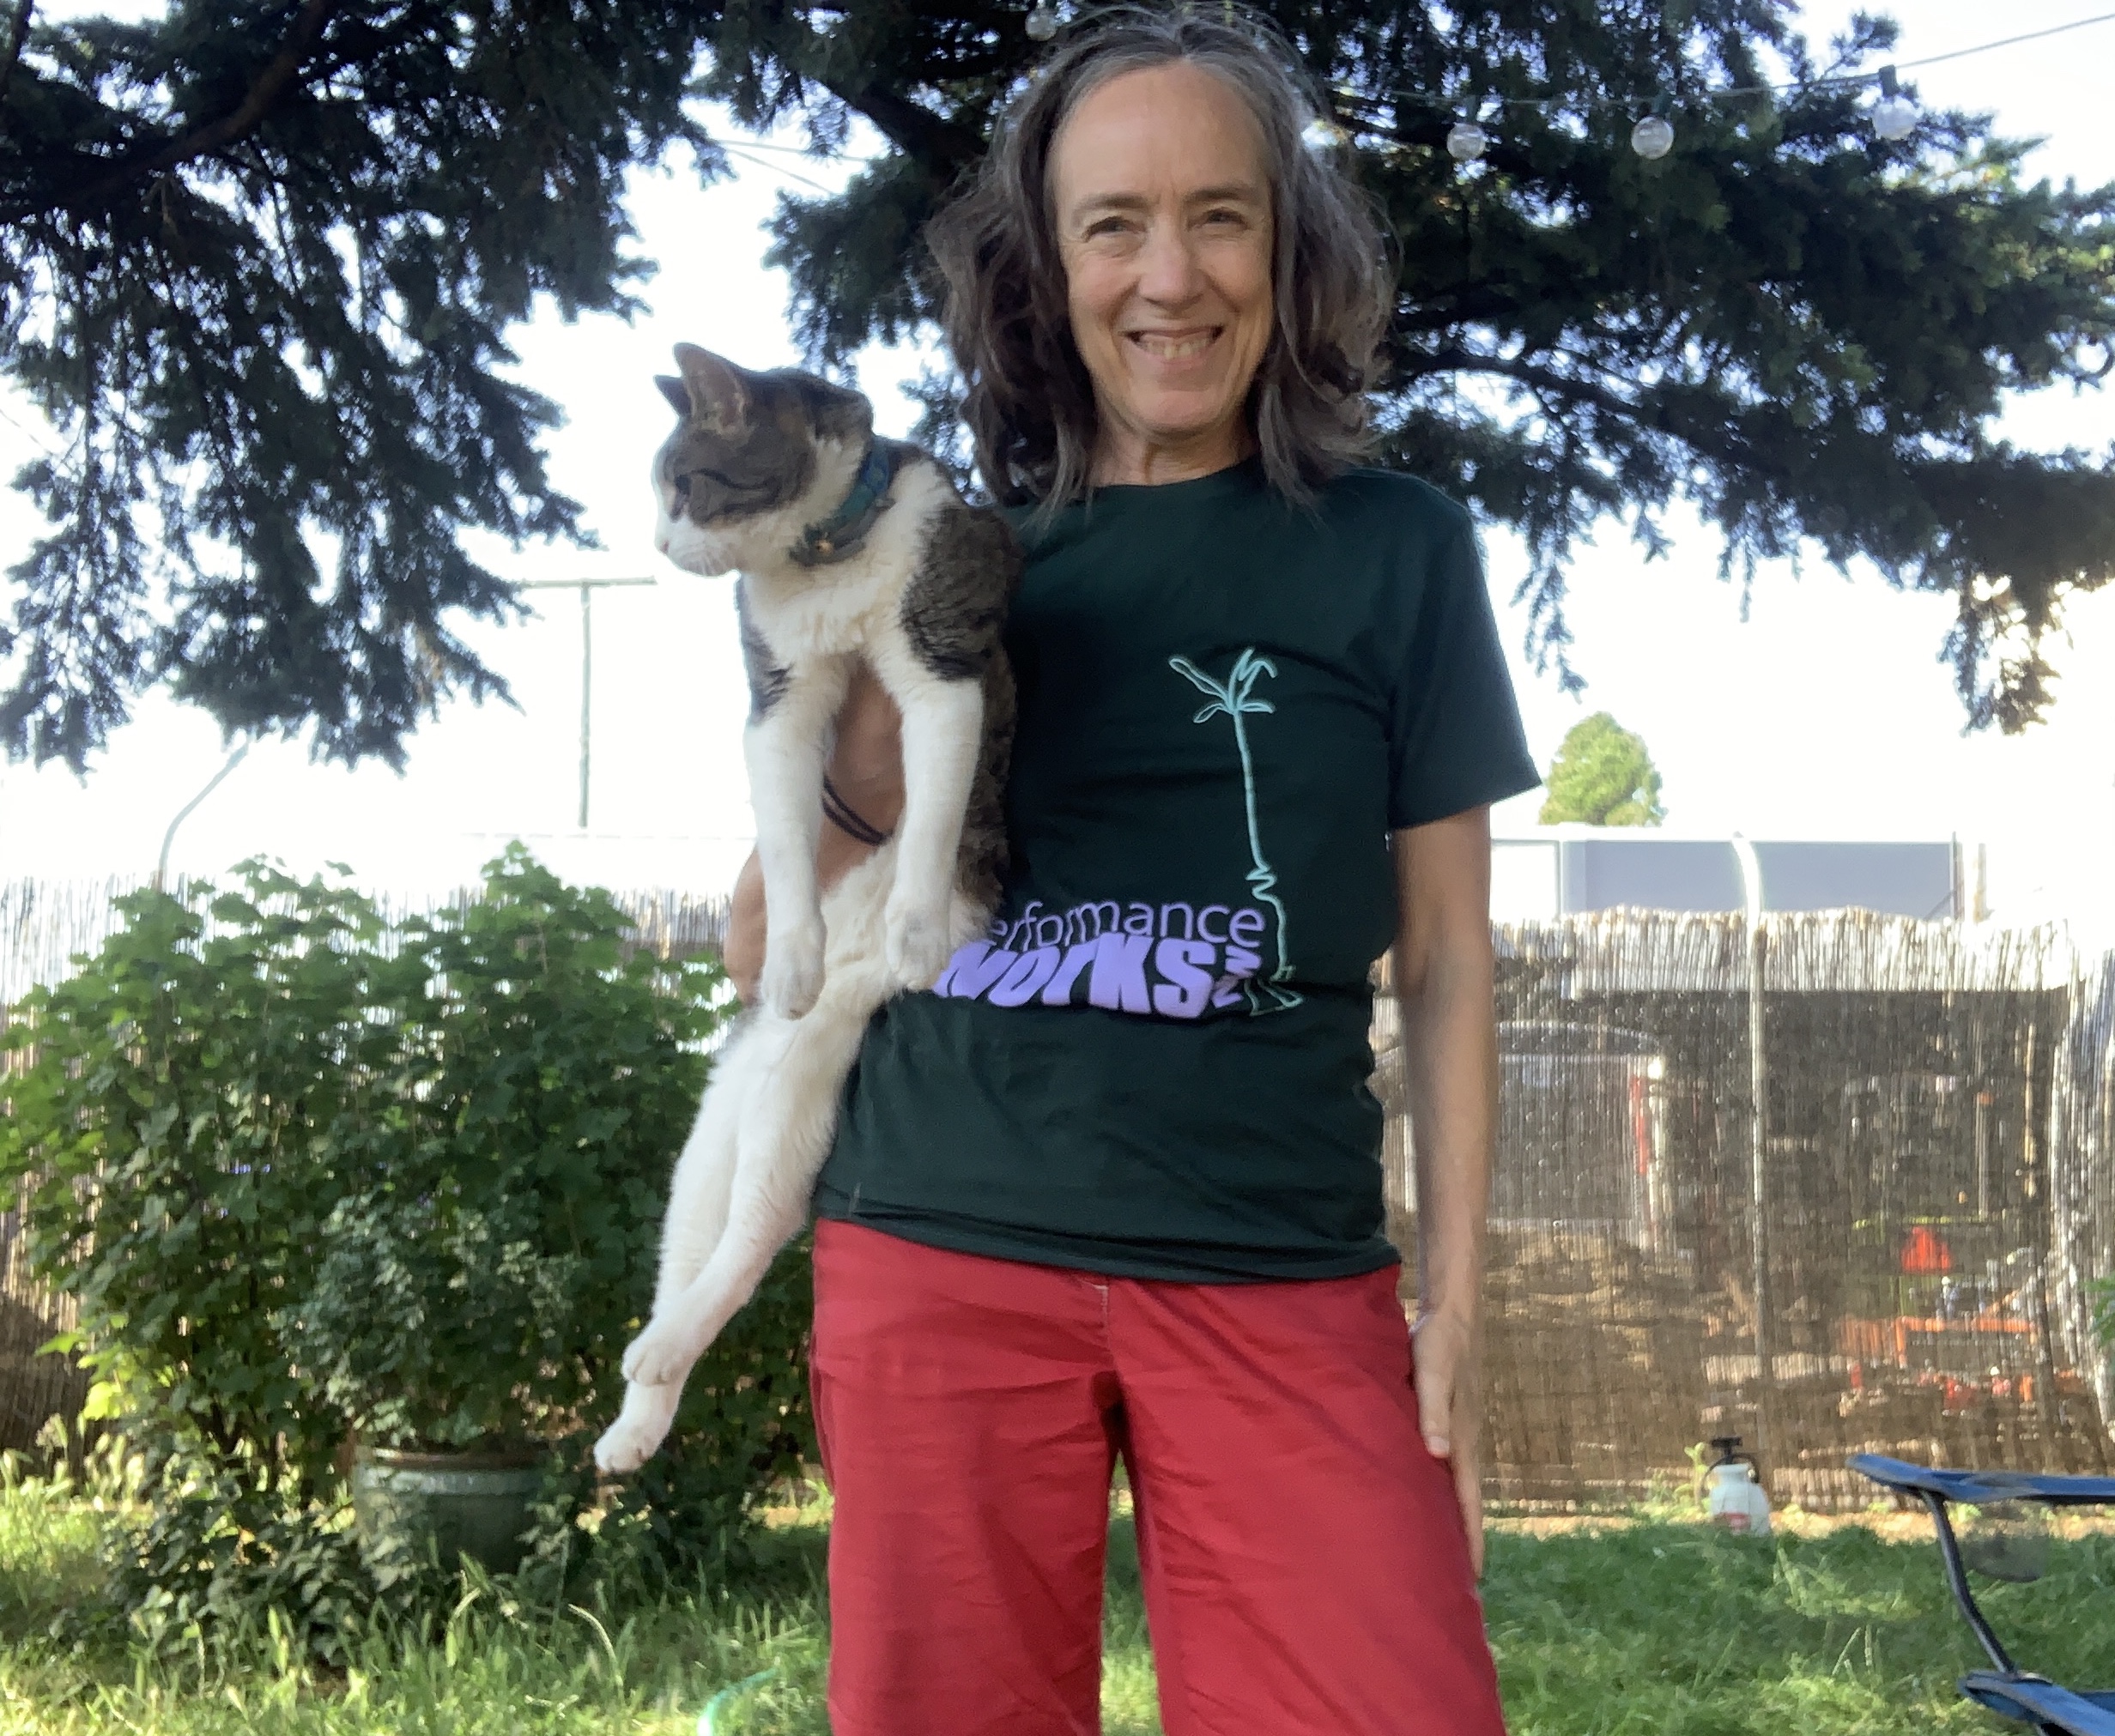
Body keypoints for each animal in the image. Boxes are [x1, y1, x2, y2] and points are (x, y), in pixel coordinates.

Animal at [593, 345, 1018, 1475]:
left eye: (684, 485)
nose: (658, 543)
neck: (824, 560)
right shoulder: (779, 706)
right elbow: (787, 848)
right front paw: (788, 955)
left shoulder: (940, 671)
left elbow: (930, 817)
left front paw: (916, 930)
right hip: (712, 1134)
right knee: (698, 1245)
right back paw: (639, 1404)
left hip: (803, 1074)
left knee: (753, 1233)